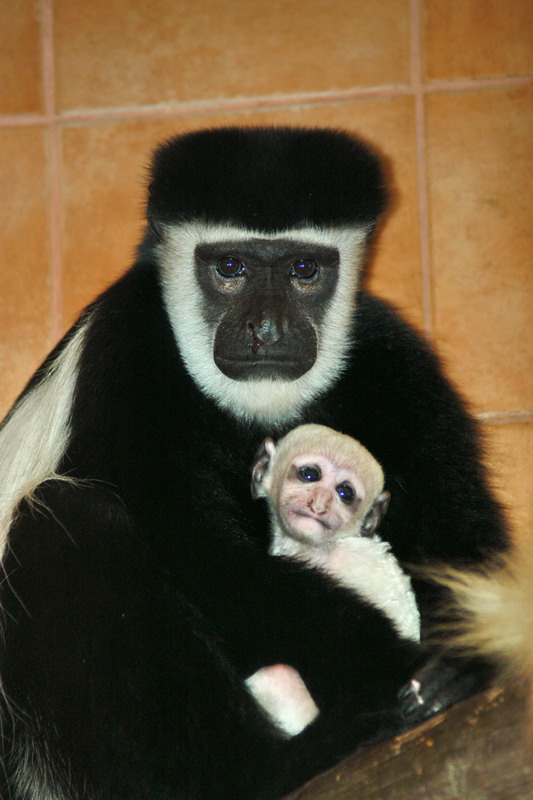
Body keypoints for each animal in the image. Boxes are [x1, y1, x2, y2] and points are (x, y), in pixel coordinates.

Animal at [0, 126, 509, 800]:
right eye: (231, 268)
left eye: (303, 269)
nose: (266, 329)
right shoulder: (127, 358)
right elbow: (203, 554)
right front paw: (414, 668)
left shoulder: (396, 361)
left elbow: (458, 531)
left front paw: (476, 655)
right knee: (67, 519)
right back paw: (276, 764)